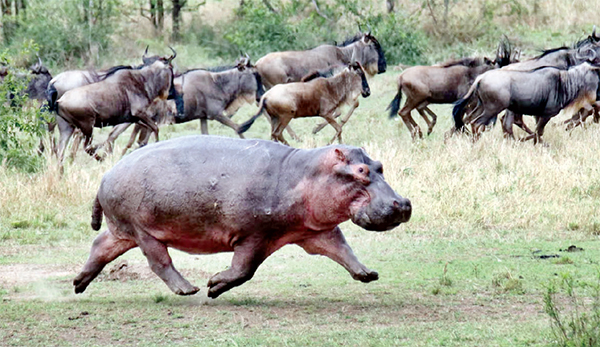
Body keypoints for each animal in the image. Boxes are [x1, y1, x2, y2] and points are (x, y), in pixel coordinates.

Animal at [74, 136, 412, 300]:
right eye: (361, 170)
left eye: (379, 165)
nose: (403, 204)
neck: (306, 172)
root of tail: (105, 175)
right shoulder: (255, 235)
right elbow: (244, 270)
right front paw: (213, 286)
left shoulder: (314, 230)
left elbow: (342, 249)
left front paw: (368, 274)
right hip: (144, 231)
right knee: (159, 262)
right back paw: (188, 289)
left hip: (123, 230)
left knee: (100, 245)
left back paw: (78, 283)